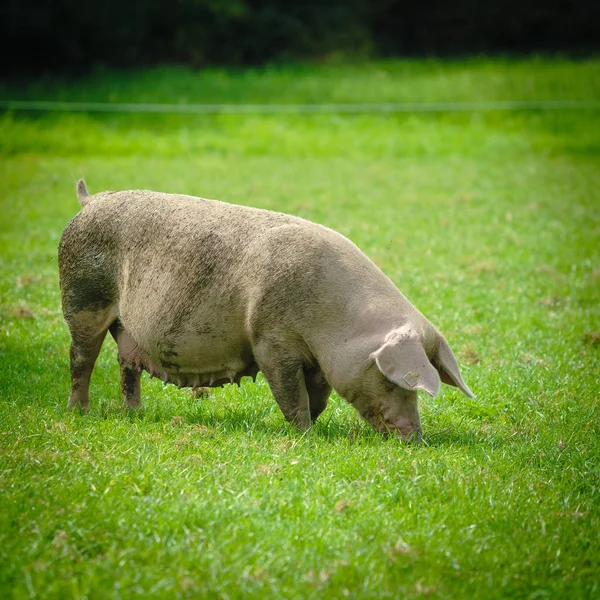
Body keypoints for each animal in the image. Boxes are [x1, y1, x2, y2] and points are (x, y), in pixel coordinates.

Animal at [58, 179, 476, 440]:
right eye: (391, 379)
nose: (414, 438)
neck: (336, 321)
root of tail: (89, 201)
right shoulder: (270, 341)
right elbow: (292, 395)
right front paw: (307, 437)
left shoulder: (318, 361)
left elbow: (318, 396)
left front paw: (314, 429)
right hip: (81, 297)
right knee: (81, 357)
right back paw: (79, 413)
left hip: (123, 325)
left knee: (126, 364)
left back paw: (135, 415)